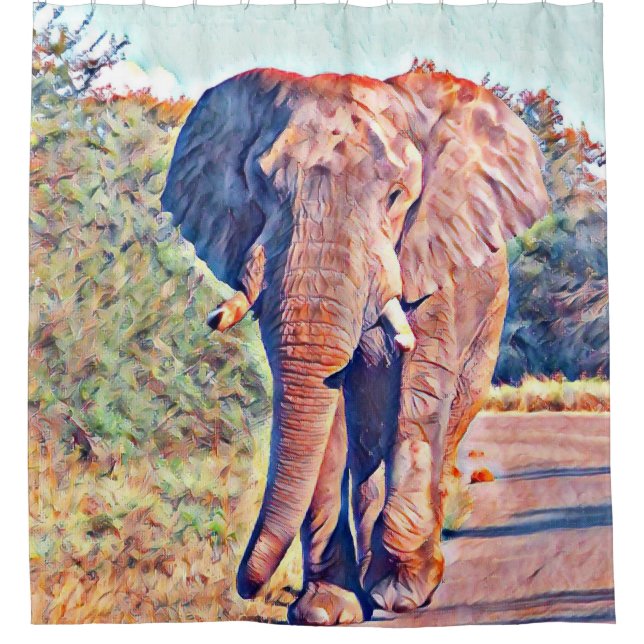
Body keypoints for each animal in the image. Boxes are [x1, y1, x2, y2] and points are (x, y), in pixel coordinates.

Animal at [161, 66, 548, 625]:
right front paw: (324, 611)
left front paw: (403, 593)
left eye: (395, 196)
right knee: (366, 444)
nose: (246, 586)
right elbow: (327, 419)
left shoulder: (433, 259)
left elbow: (418, 395)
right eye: (261, 186)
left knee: (441, 419)